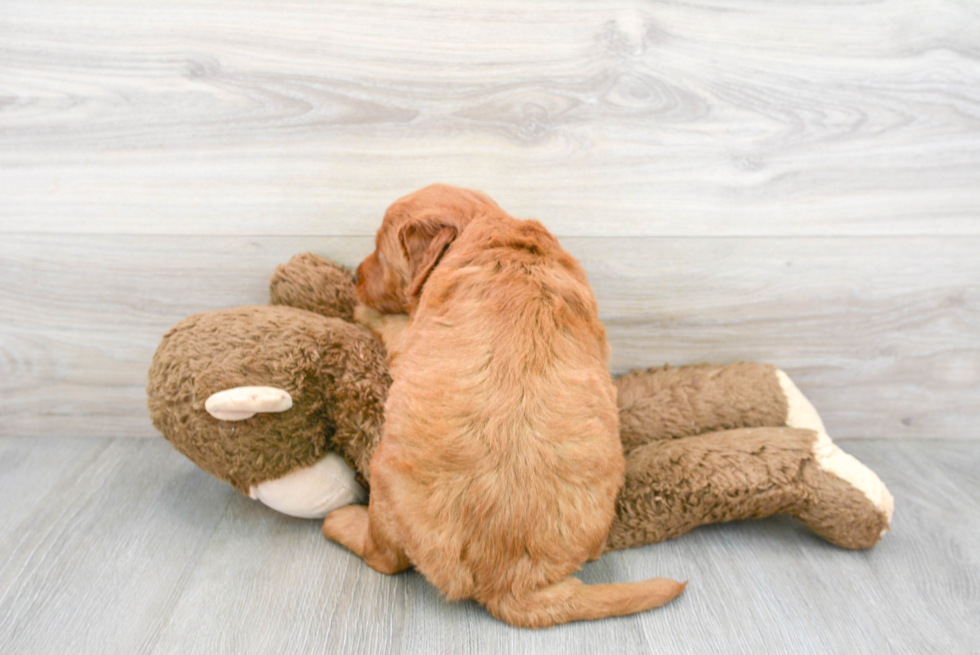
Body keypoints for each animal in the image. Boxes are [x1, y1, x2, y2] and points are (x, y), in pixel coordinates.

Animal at [326, 186, 684, 632]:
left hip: (385, 480)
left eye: (380, 250)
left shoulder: (411, 334)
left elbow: (391, 325)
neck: (489, 230)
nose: (354, 278)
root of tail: (510, 583)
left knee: (385, 558)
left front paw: (363, 310)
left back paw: (341, 521)